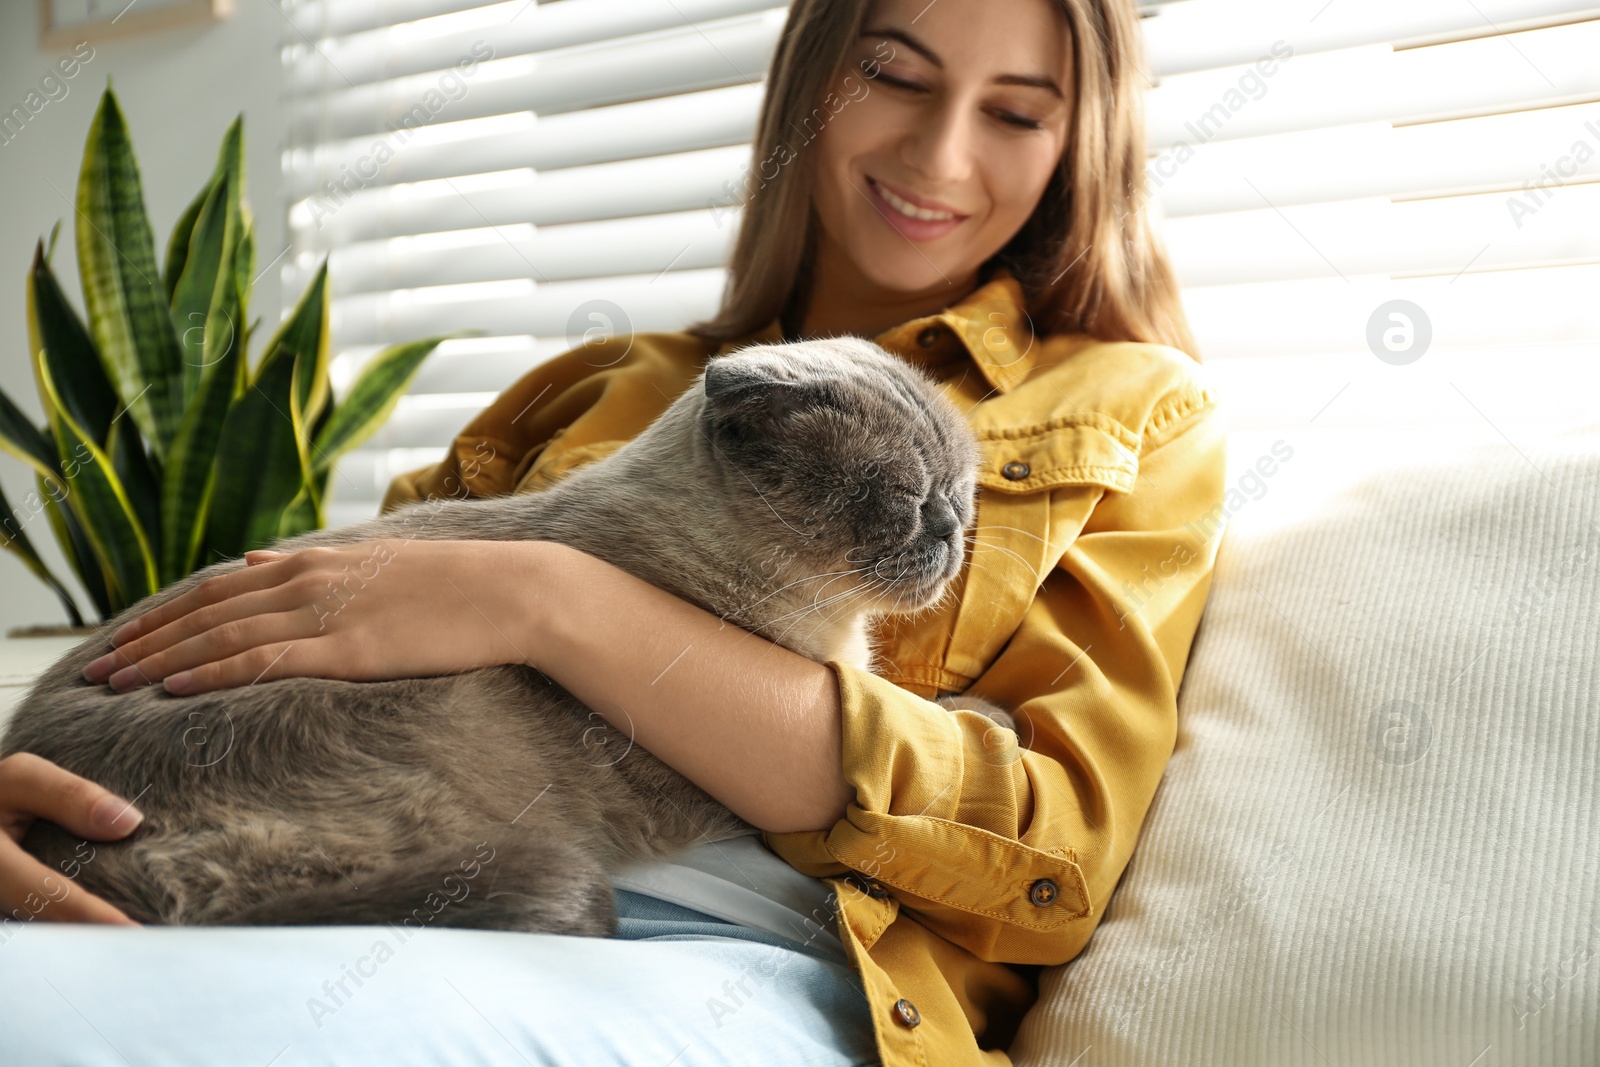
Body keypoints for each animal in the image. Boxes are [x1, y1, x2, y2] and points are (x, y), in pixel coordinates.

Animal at [0, 337, 1004, 940]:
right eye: (902, 498)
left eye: (960, 491)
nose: (953, 528)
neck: (830, 625)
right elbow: (921, 710)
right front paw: (983, 714)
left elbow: (921, 705)